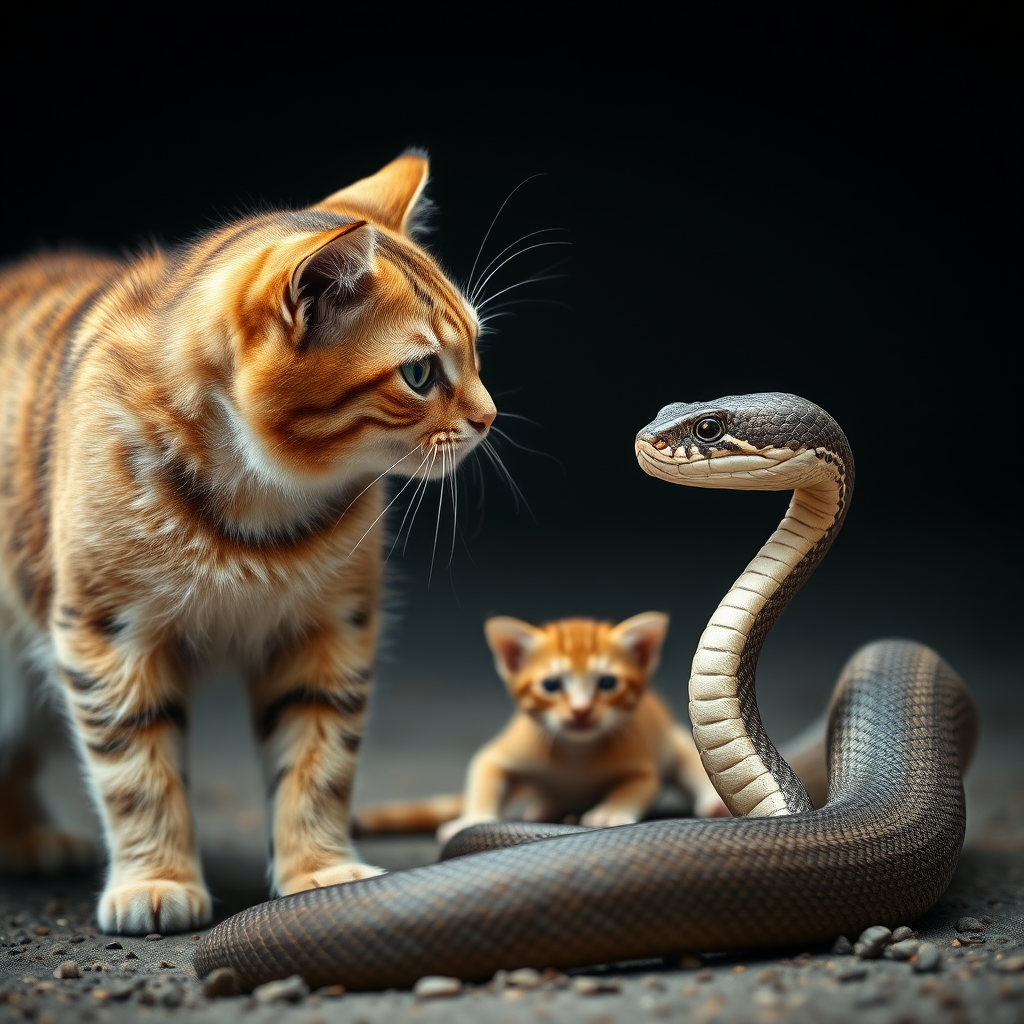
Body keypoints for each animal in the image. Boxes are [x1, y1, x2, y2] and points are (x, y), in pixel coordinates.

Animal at [0, 153, 495, 937]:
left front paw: (320, 870)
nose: (490, 416)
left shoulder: (329, 630)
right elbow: (136, 770)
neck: (257, 512)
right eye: (420, 374)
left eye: (476, 350)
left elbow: (318, 761)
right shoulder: (107, 635)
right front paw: (156, 878)